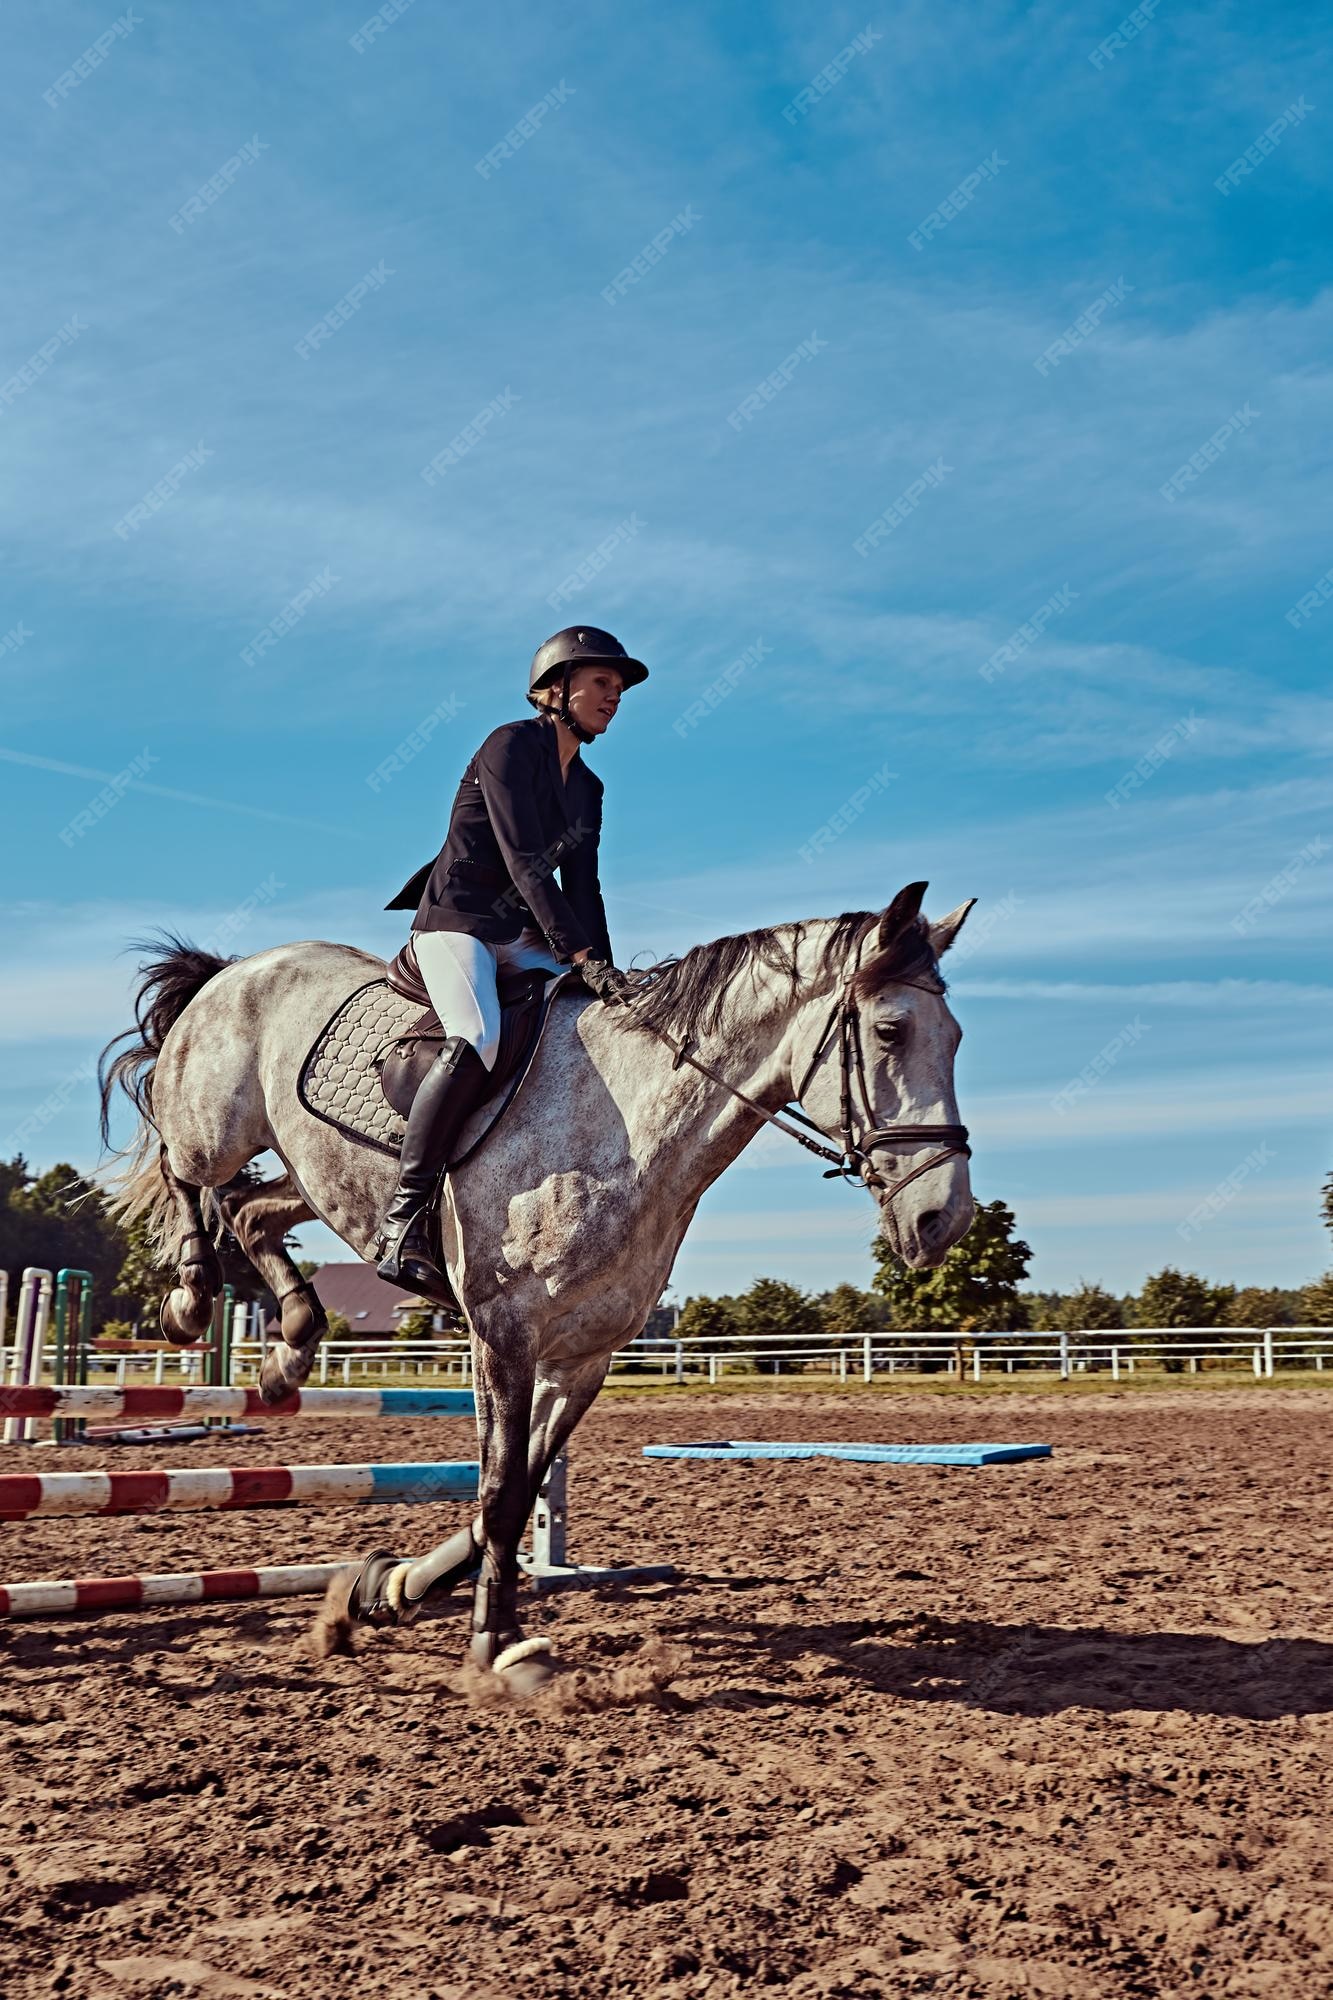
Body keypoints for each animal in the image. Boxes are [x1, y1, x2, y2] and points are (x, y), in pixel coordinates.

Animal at [101, 888, 964, 1688]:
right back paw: (191, 1295)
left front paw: (389, 1590)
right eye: (890, 1031)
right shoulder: (505, 1335)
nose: (942, 1219)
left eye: (954, 1037)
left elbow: (512, 1491)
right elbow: (501, 1493)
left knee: (252, 1212)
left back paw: (290, 1350)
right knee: (188, 1168)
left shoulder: (583, 1355)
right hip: (218, 1128)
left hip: (313, 1177)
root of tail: (241, 965)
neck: (632, 1131)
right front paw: (496, 1643)